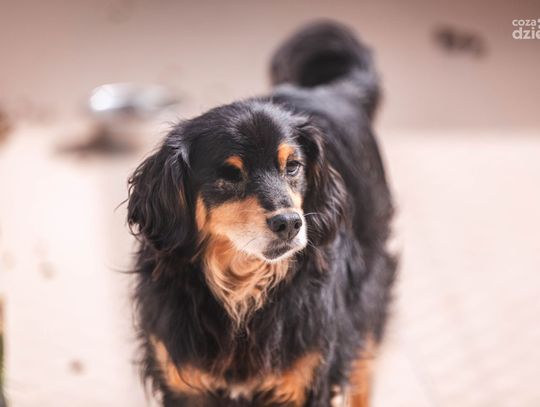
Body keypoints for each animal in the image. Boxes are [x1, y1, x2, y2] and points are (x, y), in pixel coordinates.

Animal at [127, 21, 396, 407]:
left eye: (293, 166)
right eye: (230, 174)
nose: (290, 223)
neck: (242, 296)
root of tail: (334, 91)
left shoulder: (307, 381)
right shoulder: (181, 381)